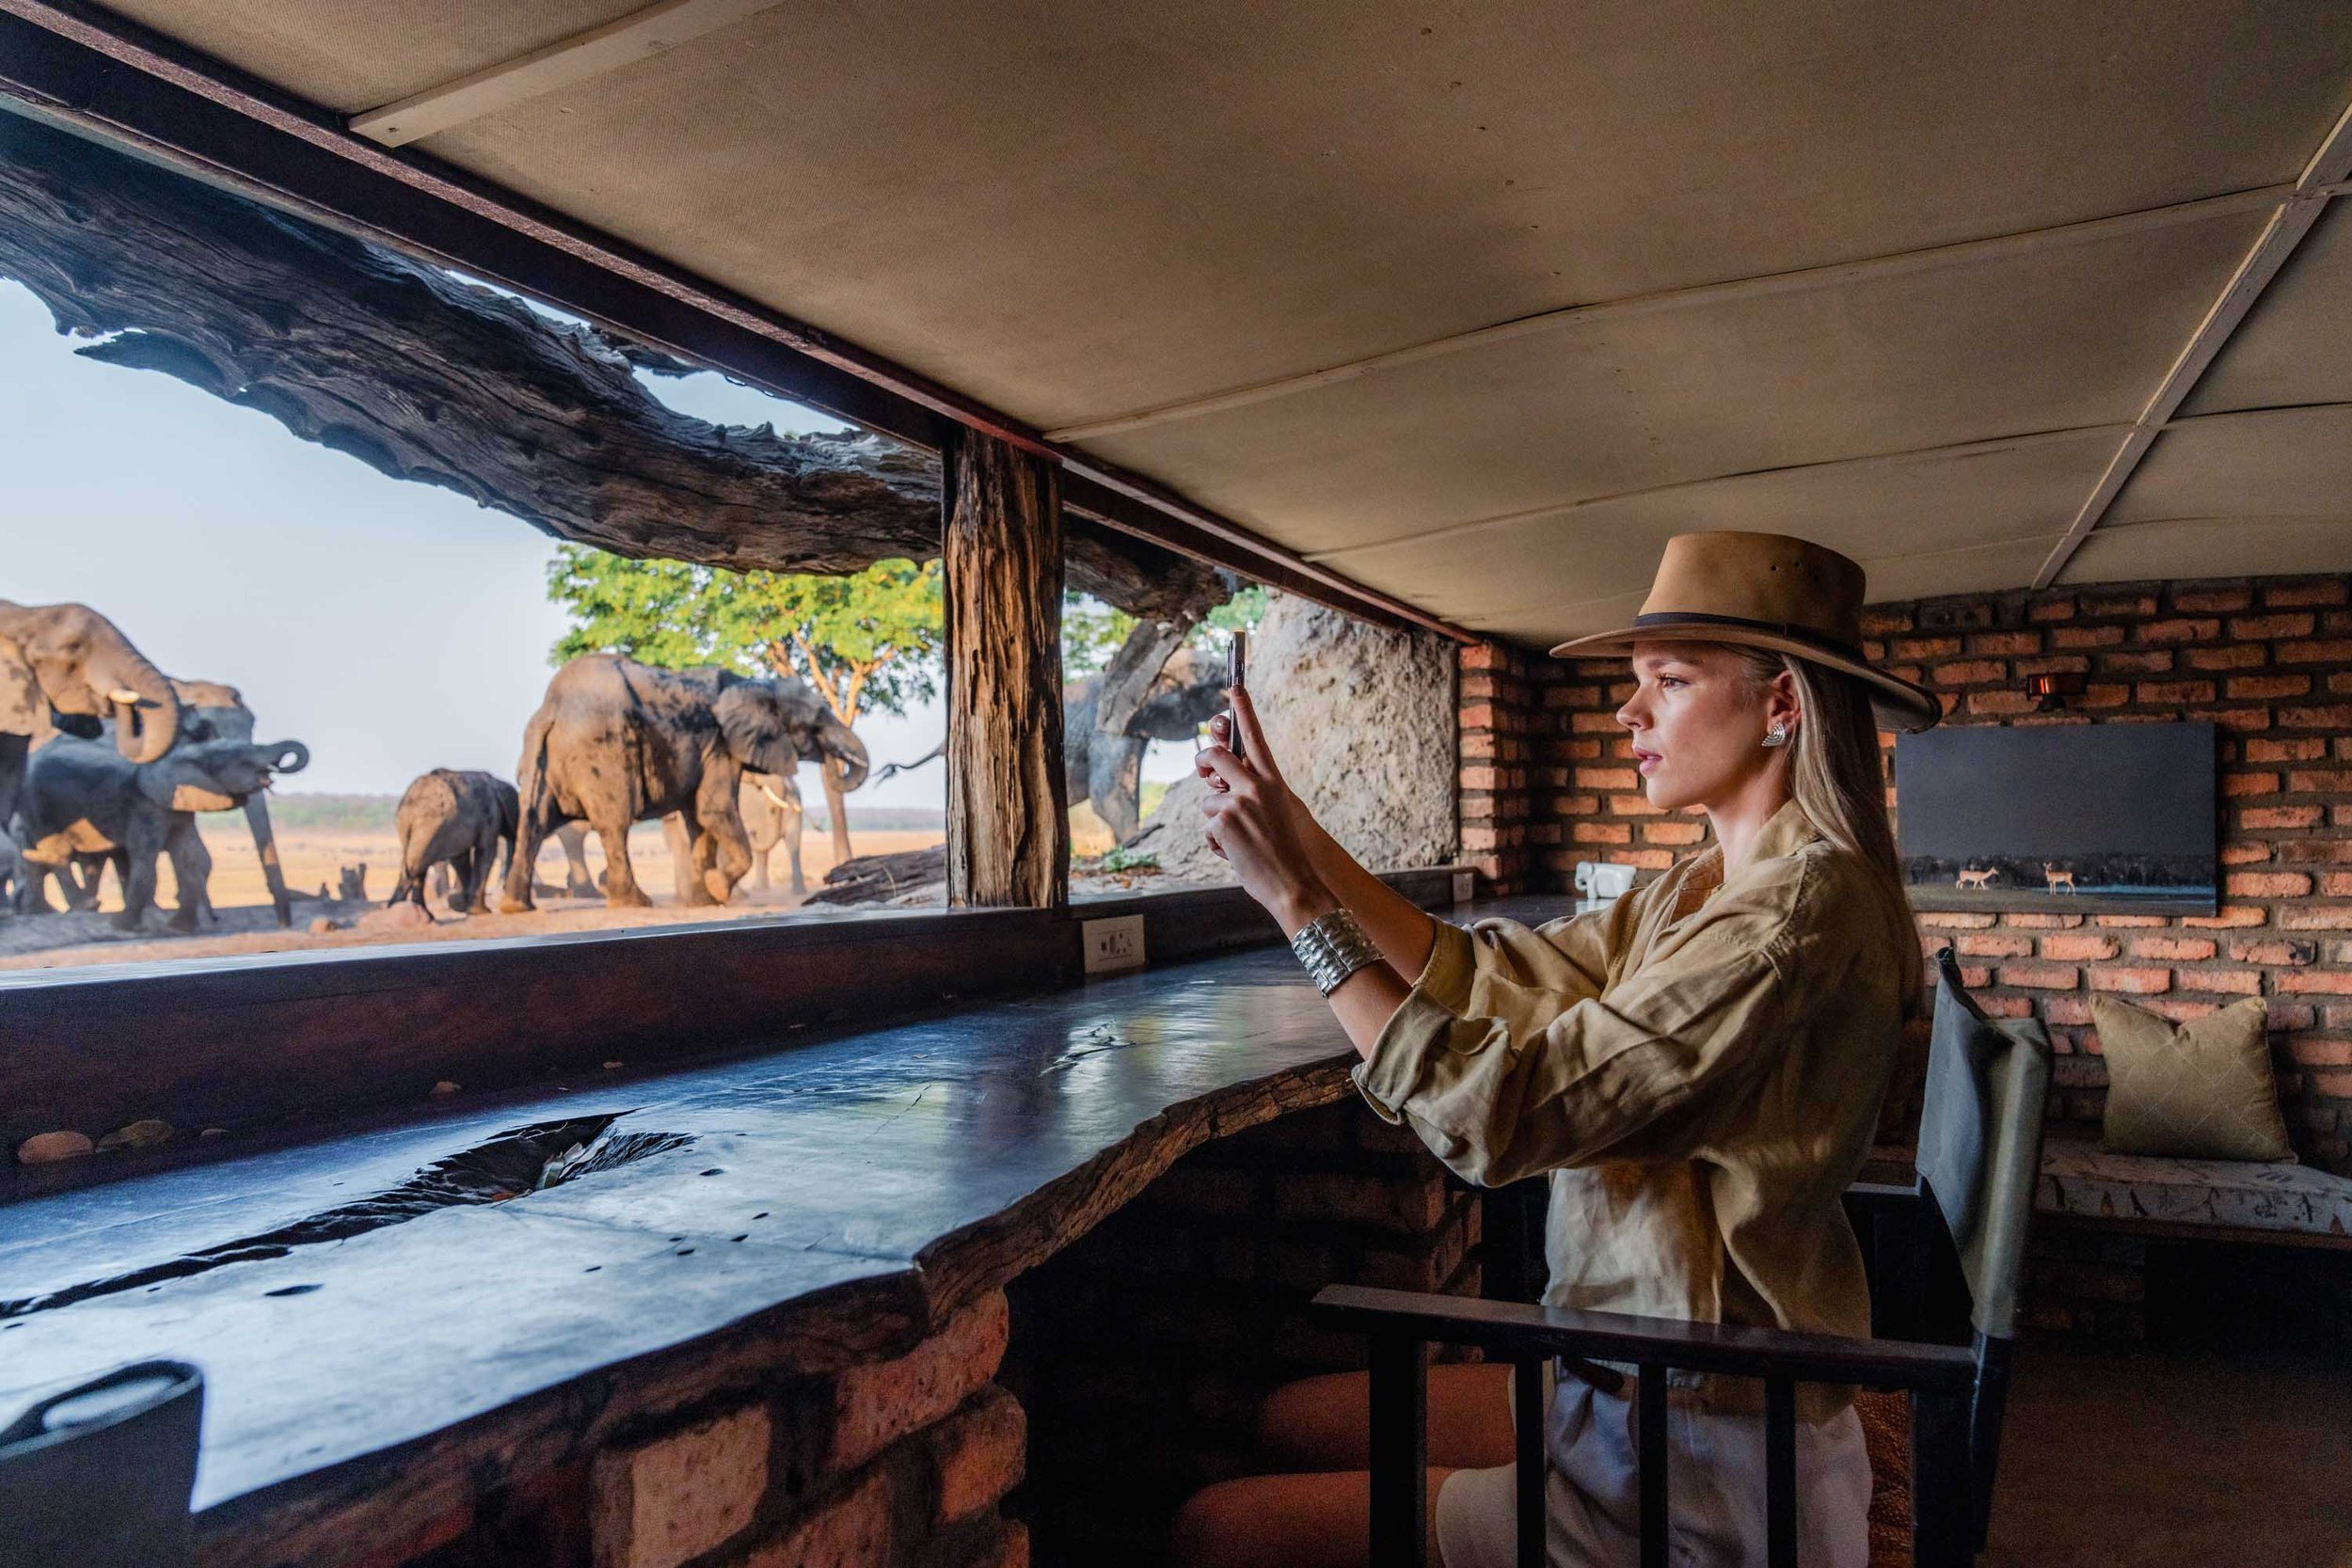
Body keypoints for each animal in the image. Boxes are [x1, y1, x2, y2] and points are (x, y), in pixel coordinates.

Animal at [14, 737, 308, 930]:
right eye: (241, 758)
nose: (277, 766)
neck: (184, 754)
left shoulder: (178, 807)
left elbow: (188, 857)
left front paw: (179, 927)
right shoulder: (146, 806)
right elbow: (144, 858)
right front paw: (121, 925)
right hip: (36, 802)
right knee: (57, 852)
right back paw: (83, 907)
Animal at [390, 770, 519, 921]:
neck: (498, 783)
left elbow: (460, 858)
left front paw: (464, 907)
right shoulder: (490, 816)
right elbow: (486, 851)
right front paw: (480, 911)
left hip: (412, 826)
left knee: (417, 866)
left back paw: (421, 914)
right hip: (430, 825)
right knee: (416, 866)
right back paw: (398, 910)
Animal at [501, 657, 870, 911]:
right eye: (817, 721)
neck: (756, 684)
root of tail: (551, 709)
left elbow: (699, 820)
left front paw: (704, 900)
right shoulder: (720, 745)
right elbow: (713, 811)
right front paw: (717, 890)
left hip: (540, 759)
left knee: (534, 822)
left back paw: (517, 906)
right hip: (602, 754)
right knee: (614, 823)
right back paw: (633, 901)